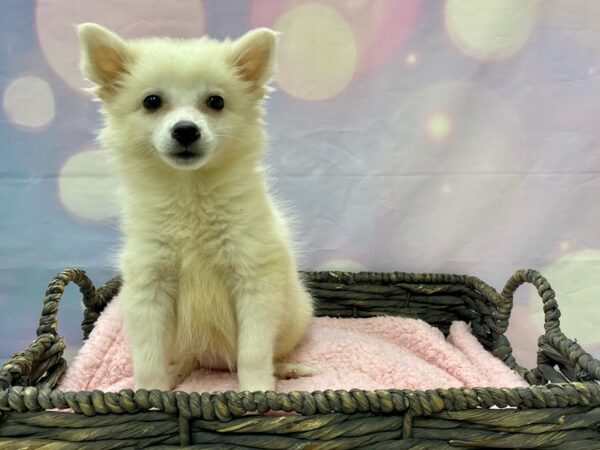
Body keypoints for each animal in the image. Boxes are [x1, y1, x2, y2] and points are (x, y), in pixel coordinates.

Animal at [76, 23, 314, 390]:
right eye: (152, 102)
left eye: (216, 102)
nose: (186, 130)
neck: (190, 192)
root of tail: (212, 362)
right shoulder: (149, 286)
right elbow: (148, 358)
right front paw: (149, 393)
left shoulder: (255, 281)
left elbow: (253, 352)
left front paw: (258, 391)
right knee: (186, 357)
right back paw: (177, 373)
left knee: (271, 353)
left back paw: (287, 369)